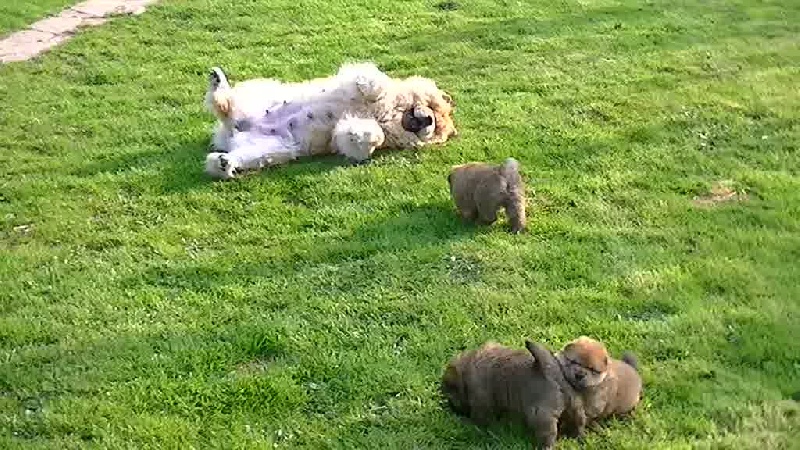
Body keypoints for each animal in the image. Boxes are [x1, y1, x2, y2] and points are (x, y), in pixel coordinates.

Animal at [203, 61, 460, 178]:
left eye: (436, 128)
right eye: (433, 110)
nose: (428, 122)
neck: (388, 116)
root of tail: (232, 132)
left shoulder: (344, 135)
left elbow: (363, 136)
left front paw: (365, 134)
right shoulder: (354, 88)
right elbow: (375, 82)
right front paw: (373, 88)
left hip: (273, 149)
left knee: (235, 149)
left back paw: (222, 163)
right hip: (260, 97)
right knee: (225, 106)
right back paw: (218, 83)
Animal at [440, 340, 584, 448]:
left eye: (449, 395)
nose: (450, 407)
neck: (466, 370)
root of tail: (552, 373)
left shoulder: (480, 402)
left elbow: (479, 419)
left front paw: (467, 423)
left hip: (540, 416)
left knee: (548, 435)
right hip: (575, 408)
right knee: (578, 423)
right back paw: (579, 438)